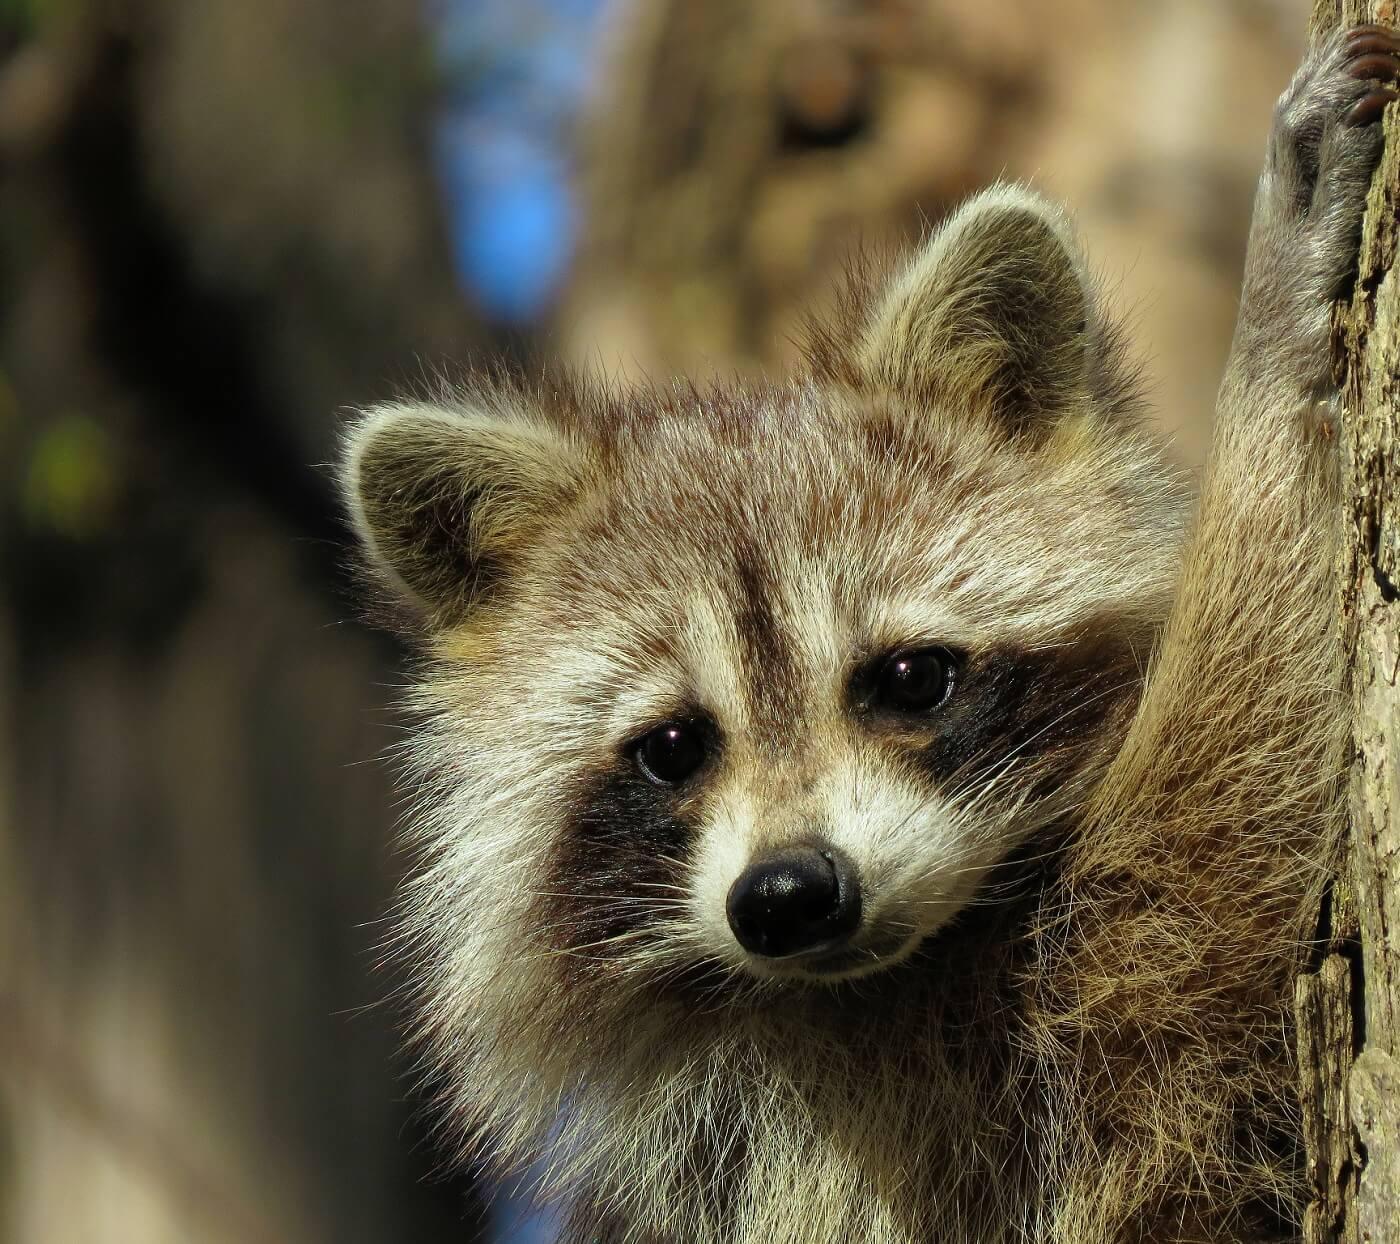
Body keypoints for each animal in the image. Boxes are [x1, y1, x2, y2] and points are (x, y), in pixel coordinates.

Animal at [339, 27, 1398, 1244]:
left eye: (909, 677)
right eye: (672, 745)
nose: (789, 895)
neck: (901, 965)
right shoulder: (918, 1110)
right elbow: (1222, 866)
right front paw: (1269, 360)